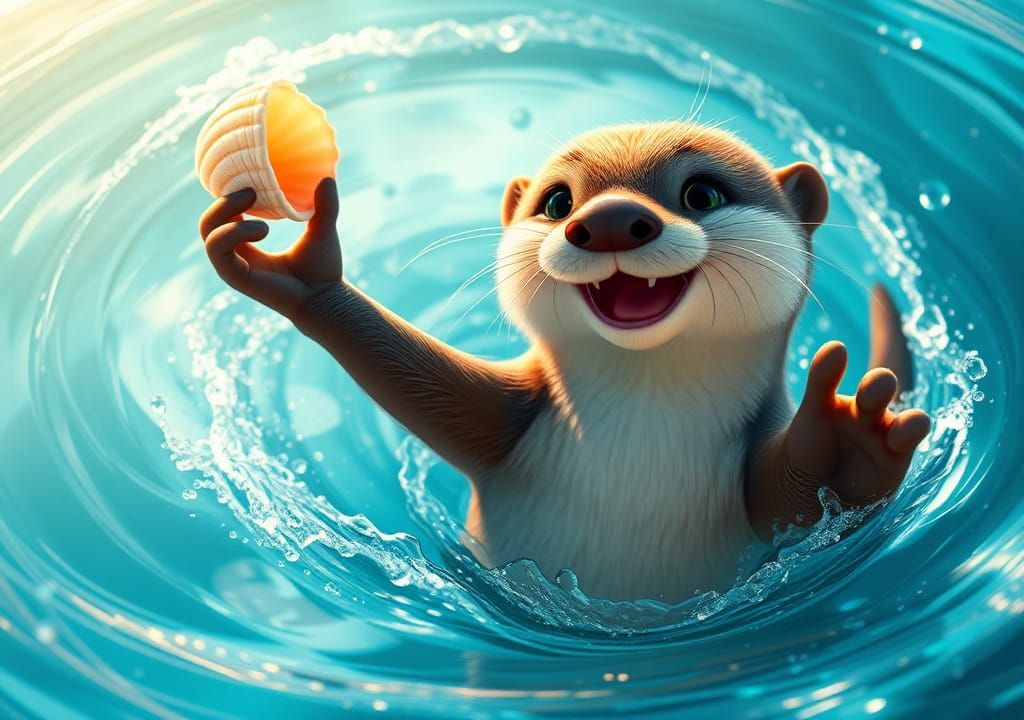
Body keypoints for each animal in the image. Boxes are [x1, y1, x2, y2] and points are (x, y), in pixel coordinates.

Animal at [198, 122, 931, 602]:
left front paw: (844, 440)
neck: (641, 427)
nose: (608, 222)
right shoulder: (512, 417)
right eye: (557, 201)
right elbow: (424, 385)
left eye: (702, 193)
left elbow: (795, 499)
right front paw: (308, 275)